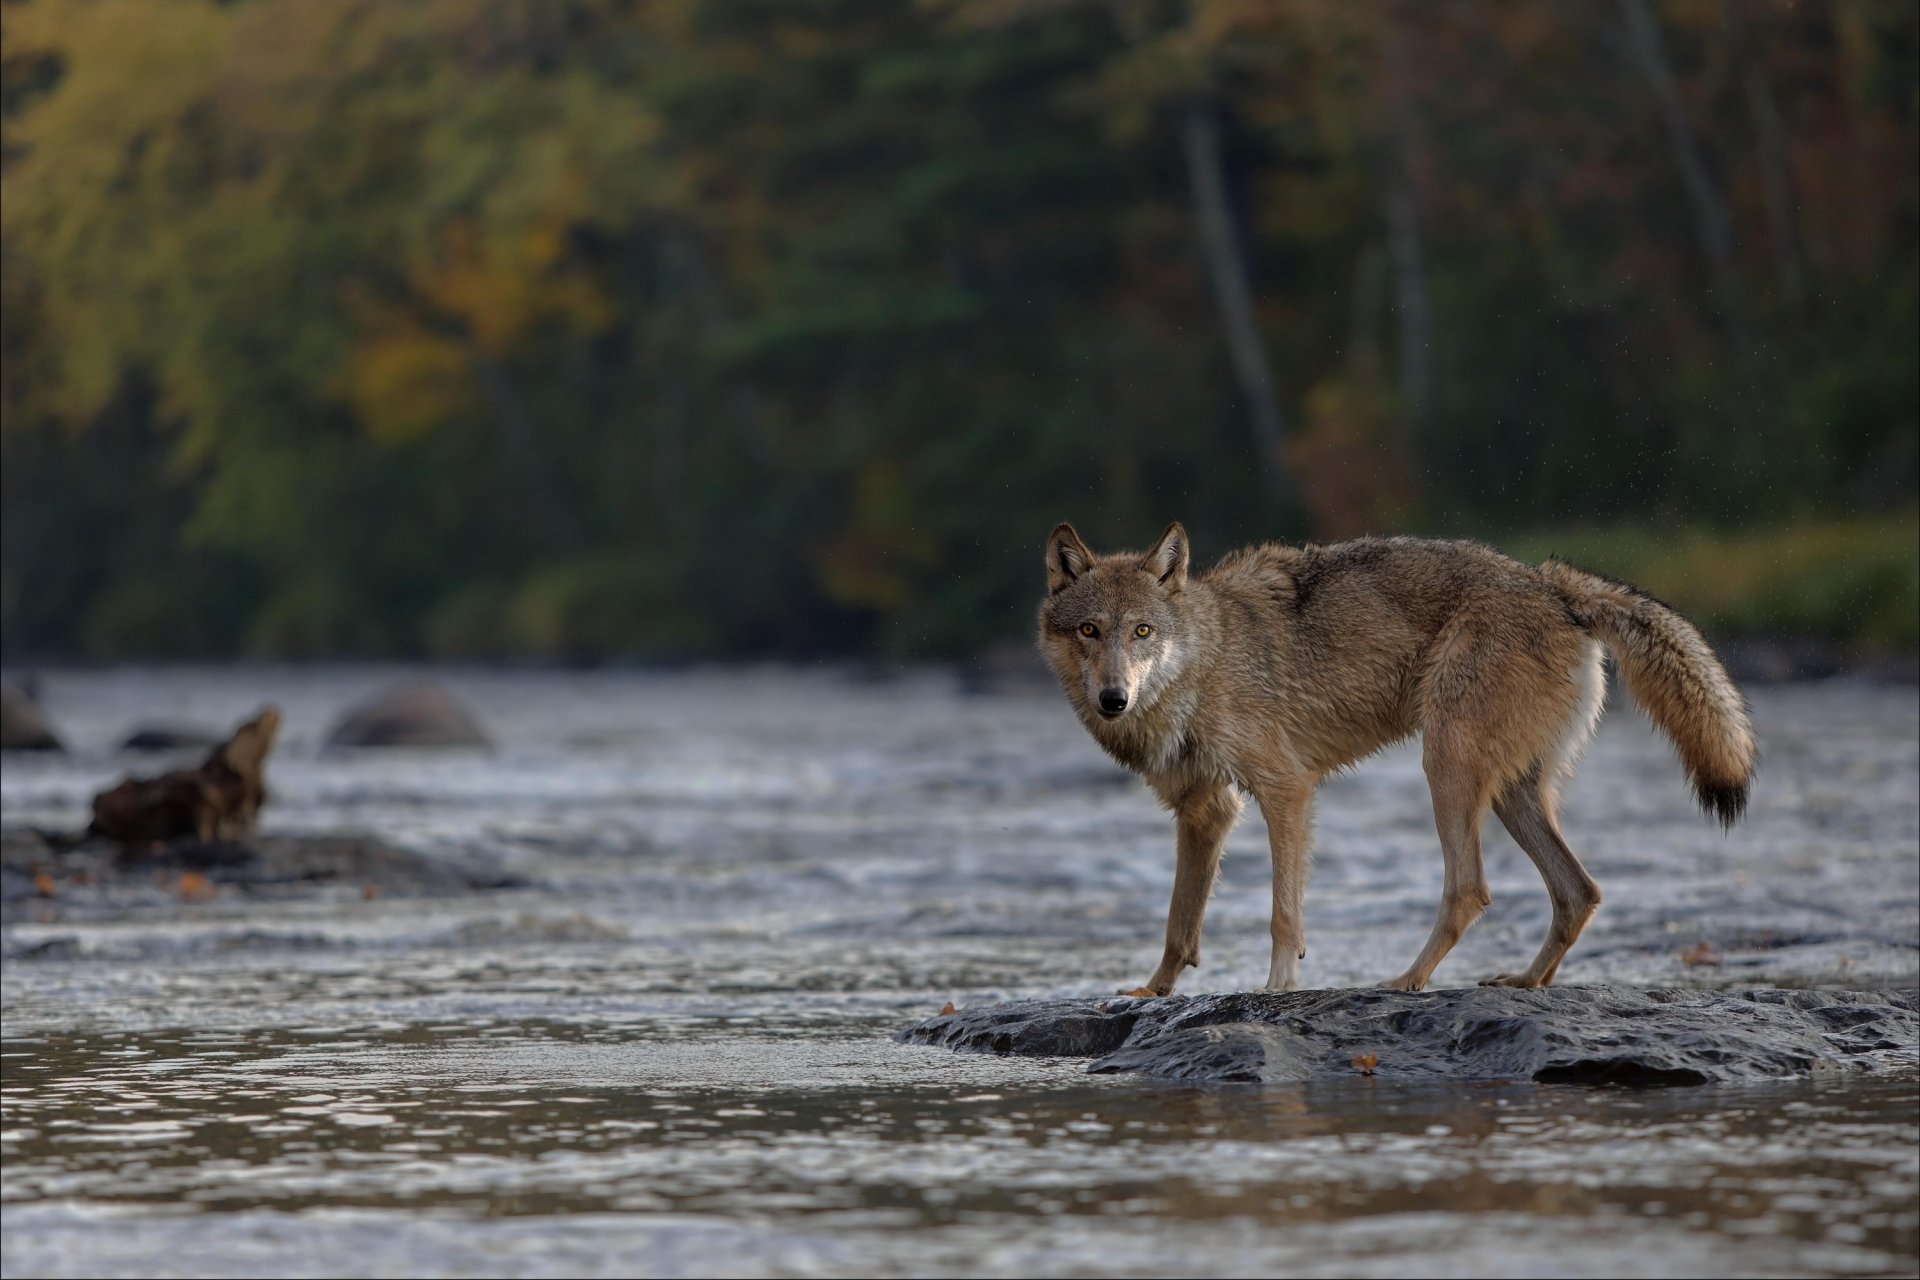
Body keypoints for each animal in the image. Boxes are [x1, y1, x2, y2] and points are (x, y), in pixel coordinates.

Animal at [1036, 522, 1754, 995]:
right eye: (1089, 631)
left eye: (1142, 632)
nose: (1113, 699)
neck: (1203, 663)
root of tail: (1552, 583)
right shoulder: (1204, 808)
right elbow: (1179, 924)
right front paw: (1150, 993)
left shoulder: (1286, 788)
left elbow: (1282, 916)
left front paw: (1274, 994)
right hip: (1510, 793)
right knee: (1579, 892)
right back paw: (1524, 983)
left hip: (1446, 768)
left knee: (1470, 890)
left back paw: (1405, 981)